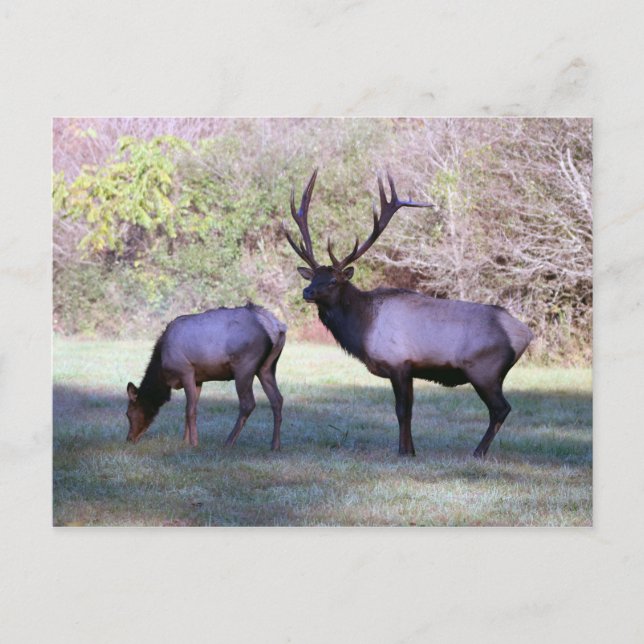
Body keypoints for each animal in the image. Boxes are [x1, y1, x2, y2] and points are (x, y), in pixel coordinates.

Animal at [125, 303, 286, 450]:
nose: (129, 439)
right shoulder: (198, 379)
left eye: (128, 413)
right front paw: (185, 440)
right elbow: (190, 407)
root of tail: (276, 327)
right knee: (277, 399)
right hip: (266, 368)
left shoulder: (186, 370)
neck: (163, 373)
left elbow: (190, 409)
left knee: (248, 403)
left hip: (244, 365)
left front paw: (194, 443)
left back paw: (229, 442)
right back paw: (275, 445)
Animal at [284, 169, 533, 458]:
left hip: (485, 370)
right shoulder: (411, 369)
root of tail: (526, 333)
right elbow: (410, 410)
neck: (362, 328)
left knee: (501, 408)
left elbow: (401, 410)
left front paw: (403, 451)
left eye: (333, 281)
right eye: (313, 277)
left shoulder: (398, 363)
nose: (307, 292)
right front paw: (411, 449)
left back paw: (478, 452)